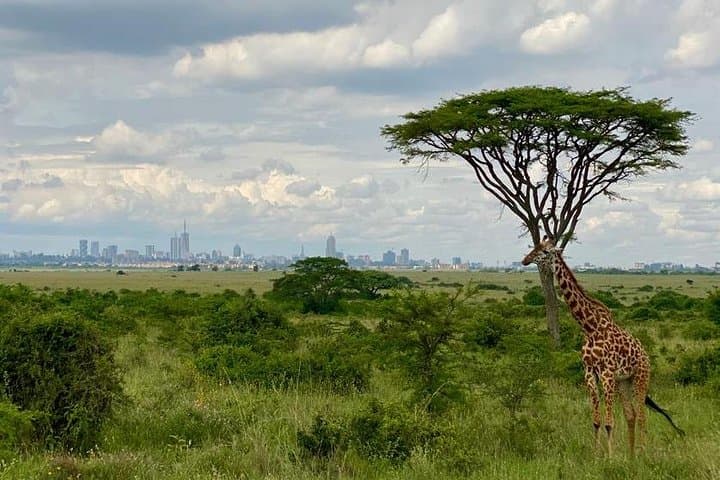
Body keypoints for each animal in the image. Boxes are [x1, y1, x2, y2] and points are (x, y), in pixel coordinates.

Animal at [522, 236, 683, 456]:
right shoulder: (590, 373)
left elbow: (609, 423)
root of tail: (646, 355)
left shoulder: (606, 373)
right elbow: (597, 421)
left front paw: (610, 457)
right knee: (631, 414)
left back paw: (642, 453)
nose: (525, 260)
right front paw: (597, 455)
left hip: (640, 378)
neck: (590, 327)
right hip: (624, 382)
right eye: (535, 247)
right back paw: (631, 455)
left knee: (642, 415)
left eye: (546, 252)